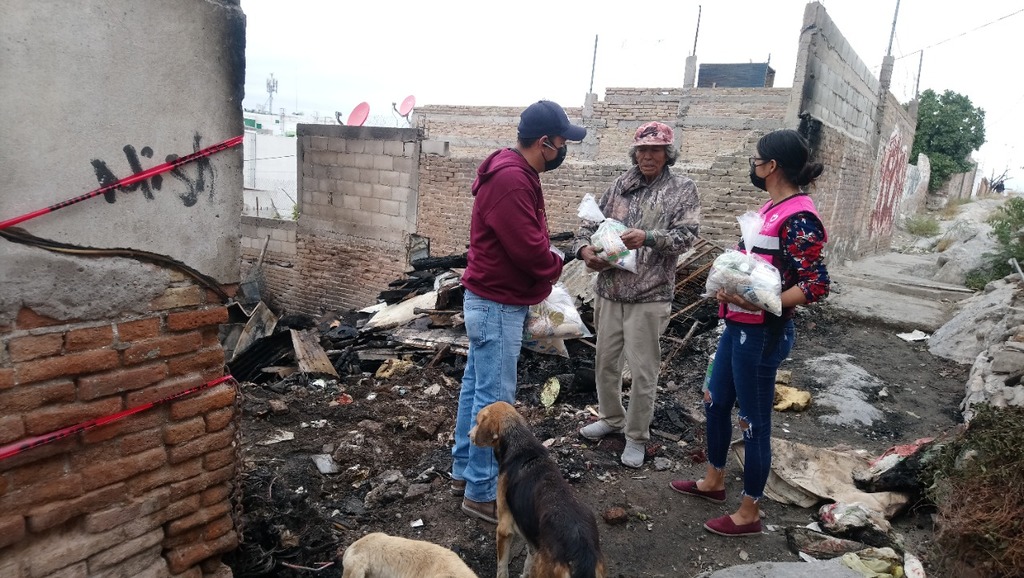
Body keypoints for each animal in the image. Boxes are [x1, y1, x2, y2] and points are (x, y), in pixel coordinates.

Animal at [471, 401, 606, 578]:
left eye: (477, 422)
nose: (468, 435)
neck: (520, 444)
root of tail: (581, 555)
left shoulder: (504, 529)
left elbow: (502, 567)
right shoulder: (533, 539)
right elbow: (528, 563)